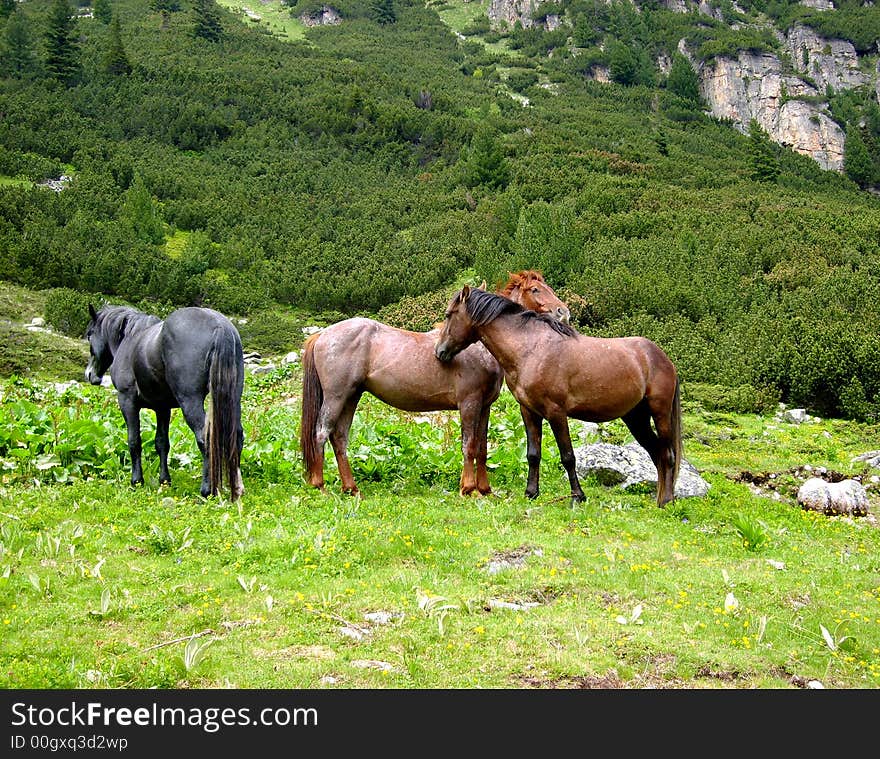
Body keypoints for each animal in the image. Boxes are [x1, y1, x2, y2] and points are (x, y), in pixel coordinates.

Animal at [300, 274, 568, 498]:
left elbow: (482, 448)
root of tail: (322, 335)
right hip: (336, 397)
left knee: (339, 438)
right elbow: (469, 446)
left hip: (351, 397)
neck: (479, 350)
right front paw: (468, 488)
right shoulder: (469, 404)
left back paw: (351, 488)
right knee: (321, 433)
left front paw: (485, 489)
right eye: (535, 289)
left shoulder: (484, 407)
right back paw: (320, 486)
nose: (563, 312)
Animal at [436, 288, 684, 508]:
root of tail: (661, 357)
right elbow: (533, 454)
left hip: (659, 413)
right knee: (656, 453)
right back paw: (660, 500)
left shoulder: (556, 412)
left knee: (667, 454)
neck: (531, 349)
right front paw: (531, 493)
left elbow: (567, 456)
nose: (440, 352)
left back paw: (667, 502)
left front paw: (577, 497)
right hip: (635, 418)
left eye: (449, 314)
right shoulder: (529, 411)